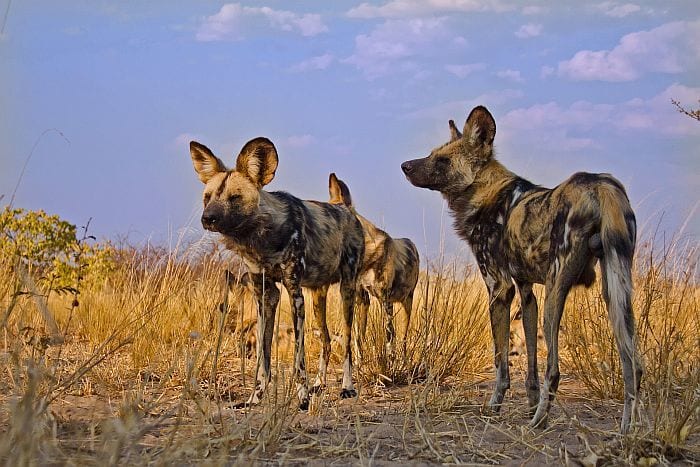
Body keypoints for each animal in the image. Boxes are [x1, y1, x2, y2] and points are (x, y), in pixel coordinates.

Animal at [191, 139, 366, 410]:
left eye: (235, 198)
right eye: (207, 198)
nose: (208, 218)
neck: (261, 240)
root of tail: (344, 208)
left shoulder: (294, 294)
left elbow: (298, 359)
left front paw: (302, 399)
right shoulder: (265, 294)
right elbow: (263, 360)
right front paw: (255, 397)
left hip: (346, 291)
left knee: (347, 343)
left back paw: (347, 387)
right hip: (318, 298)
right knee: (326, 341)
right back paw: (319, 384)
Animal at [326, 174, 418, 360]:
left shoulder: (385, 300)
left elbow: (390, 335)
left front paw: (391, 362)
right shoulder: (361, 298)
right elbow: (358, 336)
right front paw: (358, 362)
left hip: (407, 304)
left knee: (403, 337)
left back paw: (403, 359)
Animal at [402, 107, 644, 436]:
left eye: (443, 161)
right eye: (431, 154)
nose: (405, 166)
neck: (485, 192)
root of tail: (600, 185)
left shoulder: (499, 289)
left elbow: (501, 363)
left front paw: (494, 407)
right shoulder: (527, 293)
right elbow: (530, 366)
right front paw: (528, 403)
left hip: (556, 295)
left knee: (554, 370)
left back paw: (538, 421)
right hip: (616, 293)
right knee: (633, 364)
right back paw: (626, 430)